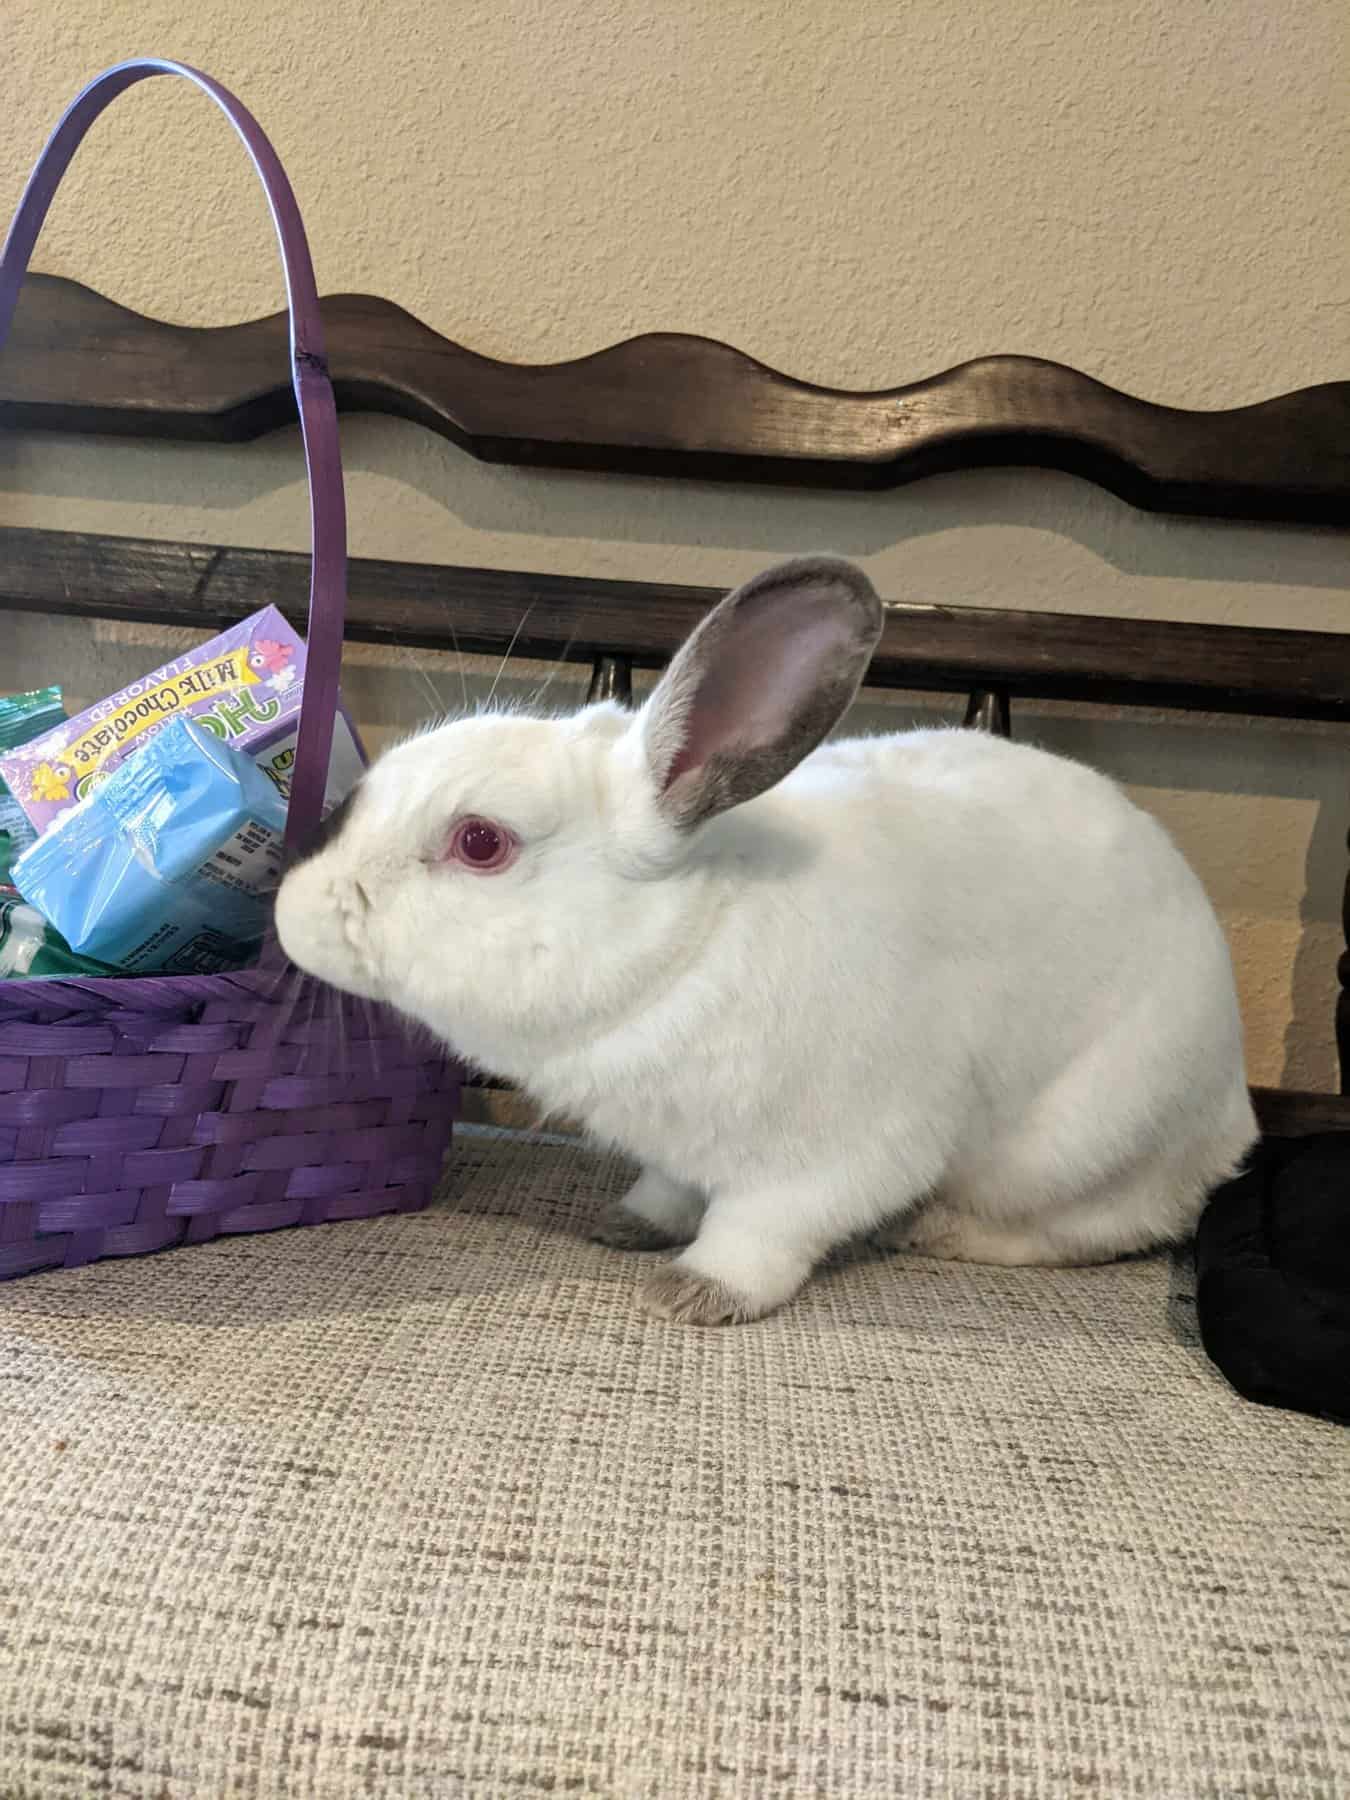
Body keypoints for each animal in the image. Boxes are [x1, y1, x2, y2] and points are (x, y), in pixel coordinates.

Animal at [271, 554, 1260, 1332]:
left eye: (481, 842)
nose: (288, 912)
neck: (685, 952)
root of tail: (1232, 1118)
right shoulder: (675, 1147)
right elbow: (670, 1190)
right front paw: (630, 1227)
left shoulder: (839, 1153)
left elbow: (764, 1230)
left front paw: (693, 1294)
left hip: (1083, 1145)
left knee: (1097, 1227)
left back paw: (937, 1230)